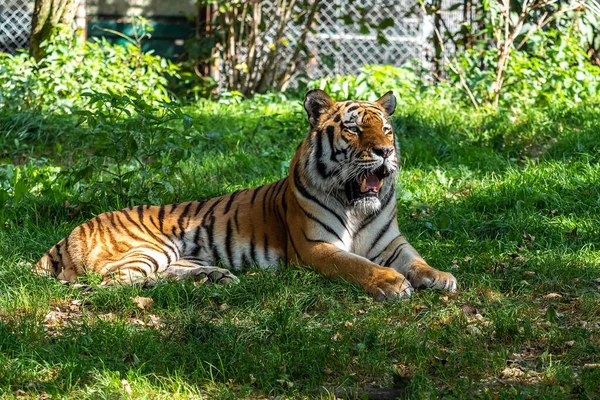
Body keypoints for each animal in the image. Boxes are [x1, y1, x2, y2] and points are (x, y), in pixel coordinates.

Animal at [36, 90, 454, 300]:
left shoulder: (392, 242)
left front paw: (440, 276)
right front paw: (391, 283)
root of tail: (68, 235)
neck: (357, 209)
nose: (384, 152)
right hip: (149, 246)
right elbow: (357, 265)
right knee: (113, 283)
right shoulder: (316, 247)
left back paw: (212, 278)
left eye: (386, 129)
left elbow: (416, 259)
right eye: (353, 130)